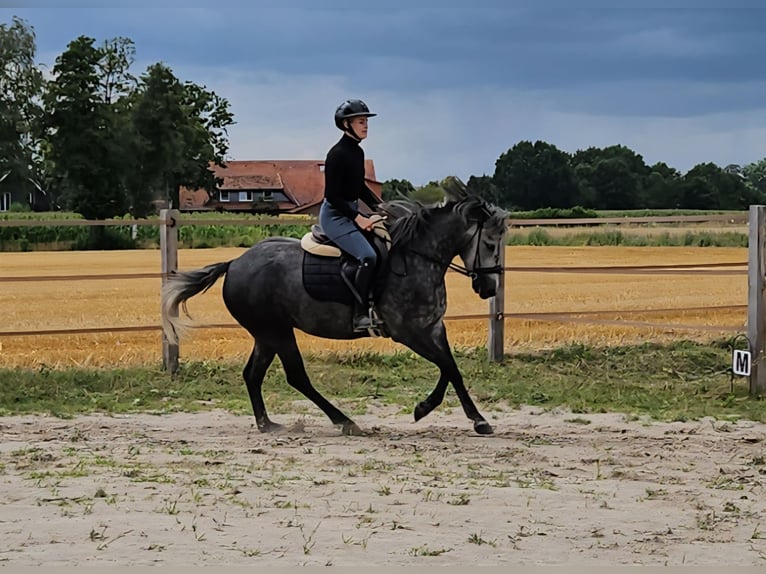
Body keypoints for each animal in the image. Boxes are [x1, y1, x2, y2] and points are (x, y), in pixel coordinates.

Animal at [160, 178, 509, 436]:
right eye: (490, 243)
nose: (488, 288)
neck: (417, 258)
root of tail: (234, 264)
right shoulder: (409, 332)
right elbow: (447, 366)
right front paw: (432, 410)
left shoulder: (433, 328)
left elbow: (452, 369)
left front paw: (472, 418)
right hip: (276, 331)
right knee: (296, 377)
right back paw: (345, 422)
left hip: (267, 334)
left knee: (253, 374)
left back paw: (268, 424)